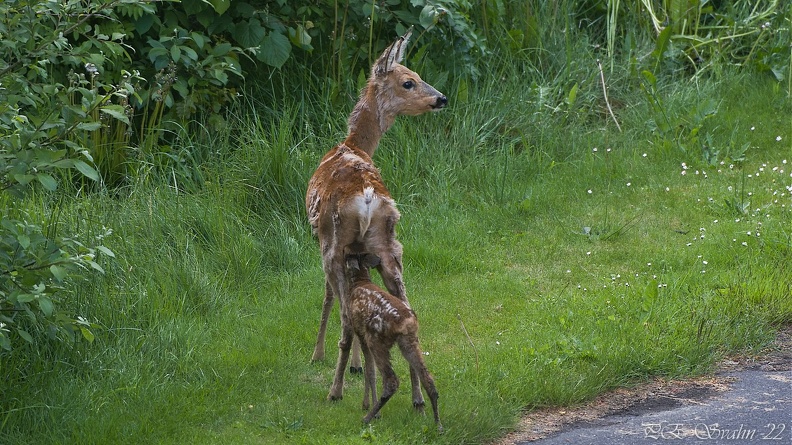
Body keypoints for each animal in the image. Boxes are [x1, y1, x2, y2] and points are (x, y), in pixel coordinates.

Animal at [306, 26, 446, 402]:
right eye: (410, 81)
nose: (441, 98)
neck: (354, 145)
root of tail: (368, 197)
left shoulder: (323, 241)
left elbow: (327, 296)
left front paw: (319, 355)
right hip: (390, 244)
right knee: (406, 304)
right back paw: (416, 395)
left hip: (336, 242)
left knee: (344, 313)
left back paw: (336, 390)